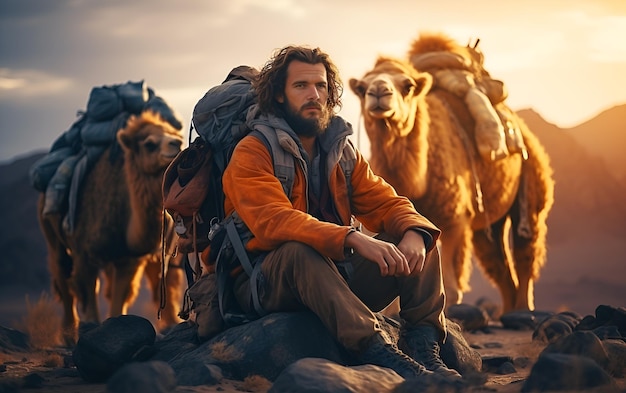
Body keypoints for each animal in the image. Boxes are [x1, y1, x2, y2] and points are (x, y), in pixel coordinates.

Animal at [37, 110, 184, 344]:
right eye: (149, 144)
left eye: (174, 134)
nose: (176, 143)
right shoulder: (84, 252)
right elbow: (86, 288)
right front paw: (88, 330)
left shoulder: (127, 258)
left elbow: (120, 297)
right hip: (51, 233)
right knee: (63, 277)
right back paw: (67, 336)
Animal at [348, 33, 552, 312]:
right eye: (361, 88)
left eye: (407, 85)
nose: (379, 92)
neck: (418, 179)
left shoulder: (455, 216)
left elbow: (452, 276)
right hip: (489, 219)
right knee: (495, 258)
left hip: (531, 182)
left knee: (525, 249)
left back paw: (523, 309)